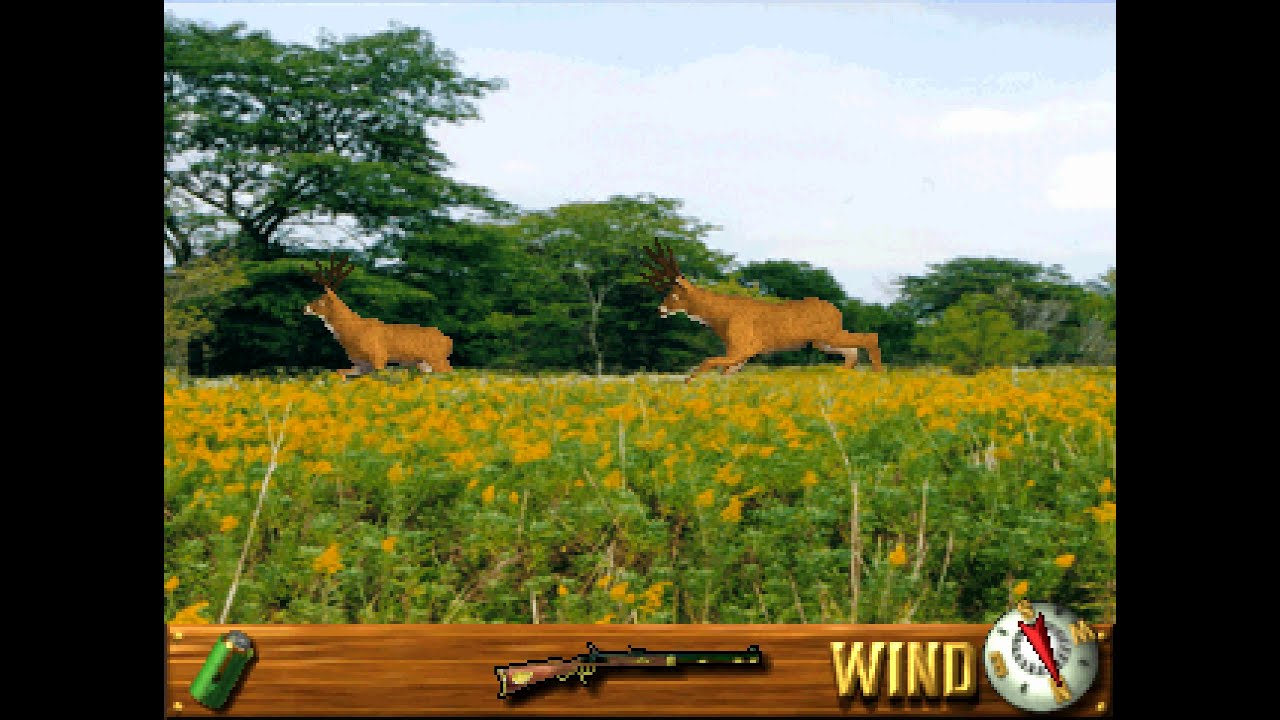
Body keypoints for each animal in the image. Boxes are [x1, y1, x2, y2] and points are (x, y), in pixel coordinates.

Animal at [303, 254, 454, 379]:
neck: (353, 330)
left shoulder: (378, 356)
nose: (305, 308)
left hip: (437, 359)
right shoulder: (361, 363)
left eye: (320, 300)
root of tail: (448, 340)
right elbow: (340, 372)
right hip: (424, 364)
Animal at [641, 240, 882, 383]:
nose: (660, 309)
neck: (721, 317)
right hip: (822, 341)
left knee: (869, 337)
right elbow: (725, 372)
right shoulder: (737, 351)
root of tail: (836, 310)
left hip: (828, 334)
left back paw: (878, 378)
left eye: (674, 294)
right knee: (852, 352)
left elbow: (708, 361)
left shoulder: (746, 345)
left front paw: (689, 382)